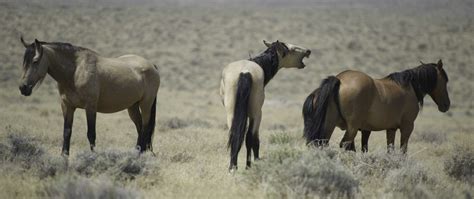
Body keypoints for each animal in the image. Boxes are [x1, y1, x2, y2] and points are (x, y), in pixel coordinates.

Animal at [18, 37, 160, 155]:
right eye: (24, 61)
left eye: (35, 61)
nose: (23, 87)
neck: (75, 71)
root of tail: (152, 65)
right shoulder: (67, 106)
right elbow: (67, 132)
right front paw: (64, 157)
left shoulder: (90, 107)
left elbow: (91, 134)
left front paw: (93, 156)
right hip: (132, 107)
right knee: (140, 128)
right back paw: (138, 152)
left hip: (146, 105)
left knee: (145, 128)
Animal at [219, 39, 312, 172]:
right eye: (292, 49)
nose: (308, 51)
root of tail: (245, 72)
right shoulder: (257, 114)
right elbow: (254, 140)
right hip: (256, 114)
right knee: (250, 137)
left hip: (231, 113)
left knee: (235, 135)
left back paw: (233, 167)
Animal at [302, 59, 450, 153]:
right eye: (445, 80)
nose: (446, 105)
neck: (410, 87)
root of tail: (340, 79)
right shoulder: (407, 127)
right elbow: (403, 151)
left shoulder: (390, 129)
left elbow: (388, 150)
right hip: (351, 127)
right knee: (344, 144)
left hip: (329, 125)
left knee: (322, 143)